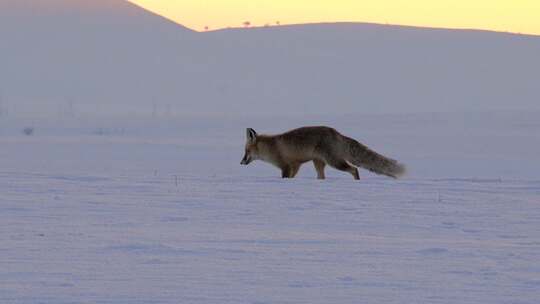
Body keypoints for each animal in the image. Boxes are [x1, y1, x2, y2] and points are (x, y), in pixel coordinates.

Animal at [240, 126, 404, 180]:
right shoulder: (295, 165)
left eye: (246, 151)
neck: (271, 147)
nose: (241, 162)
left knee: (354, 169)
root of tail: (337, 133)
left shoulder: (287, 166)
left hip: (334, 162)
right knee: (322, 177)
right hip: (318, 163)